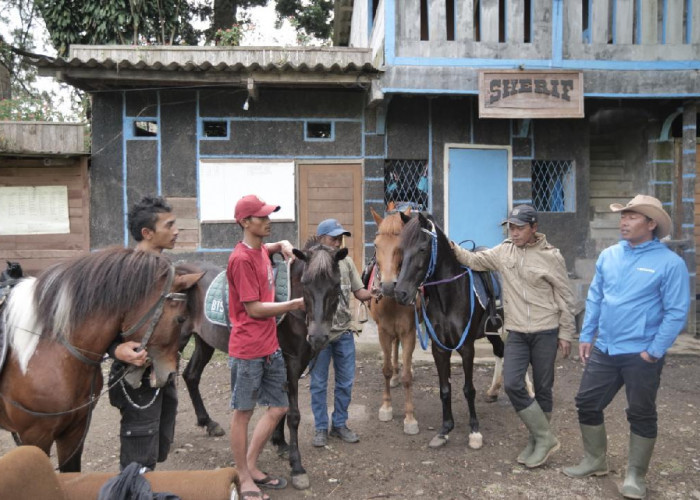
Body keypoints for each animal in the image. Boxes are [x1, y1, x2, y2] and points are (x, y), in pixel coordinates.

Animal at [178, 240, 347, 490]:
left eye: (335, 285)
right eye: (306, 283)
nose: (318, 337)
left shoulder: (295, 361)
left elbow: (280, 405)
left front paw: (280, 443)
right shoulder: (290, 362)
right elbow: (292, 414)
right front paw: (297, 466)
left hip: (204, 341)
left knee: (191, 375)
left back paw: (208, 423)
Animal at [393, 212, 505, 449]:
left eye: (422, 249)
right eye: (401, 250)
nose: (401, 293)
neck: (449, 296)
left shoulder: (467, 348)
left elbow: (468, 389)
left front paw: (474, 432)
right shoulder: (439, 349)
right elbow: (445, 389)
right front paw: (445, 430)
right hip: (491, 331)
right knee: (501, 351)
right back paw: (493, 391)